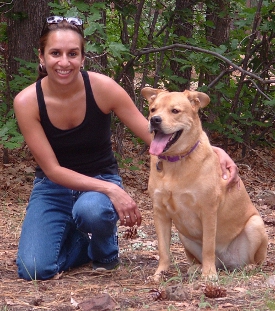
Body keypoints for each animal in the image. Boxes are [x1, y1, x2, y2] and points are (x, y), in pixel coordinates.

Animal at [142, 86, 270, 282]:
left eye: (175, 111)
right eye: (153, 109)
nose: (154, 120)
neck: (176, 161)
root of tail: (225, 263)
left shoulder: (208, 210)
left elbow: (208, 246)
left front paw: (209, 274)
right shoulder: (160, 213)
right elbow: (164, 250)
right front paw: (159, 274)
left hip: (255, 224)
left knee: (255, 260)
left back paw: (246, 267)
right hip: (183, 234)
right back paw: (196, 268)